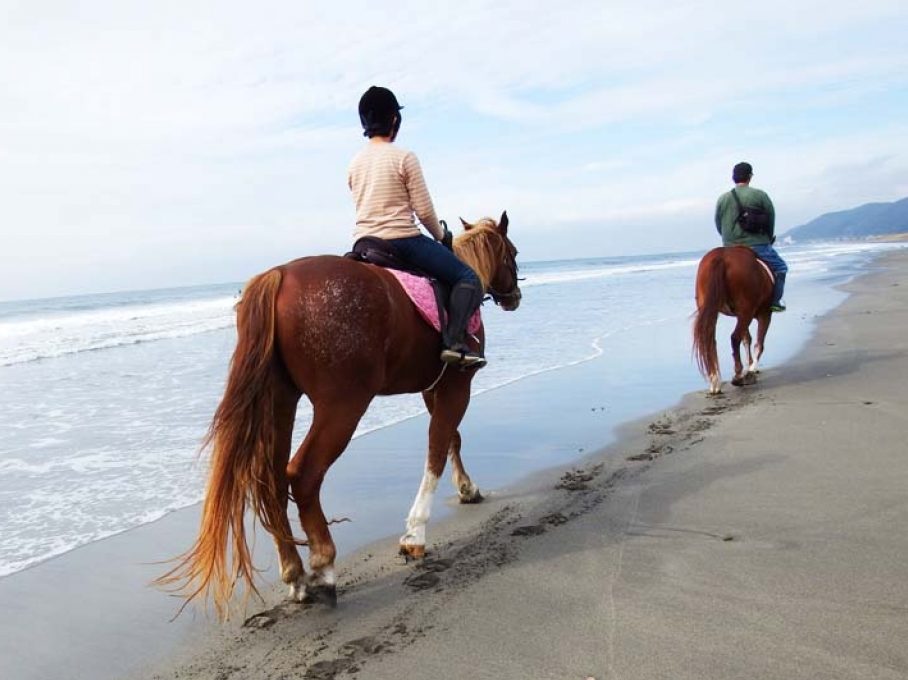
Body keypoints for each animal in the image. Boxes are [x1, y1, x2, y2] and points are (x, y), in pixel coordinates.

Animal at [157, 212, 521, 619]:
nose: (514, 298)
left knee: (272, 479)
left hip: (281, 400)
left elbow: (450, 439)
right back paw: (323, 568)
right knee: (303, 474)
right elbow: (437, 449)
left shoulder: (436, 387)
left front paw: (467, 489)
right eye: (513, 253)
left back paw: (296, 575)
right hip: (343, 404)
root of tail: (278, 276)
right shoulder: (457, 385)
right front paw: (415, 534)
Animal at [692, 245, 775, 395]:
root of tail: (722, 257)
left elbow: (747, 339)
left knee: (710, 341)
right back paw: (738, 375)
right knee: (735, 337)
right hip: (746, 311)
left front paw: (750, 366)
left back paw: (715, 381)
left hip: (710, 309)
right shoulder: (765, 314)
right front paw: (751, 370)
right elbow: (758, 343)